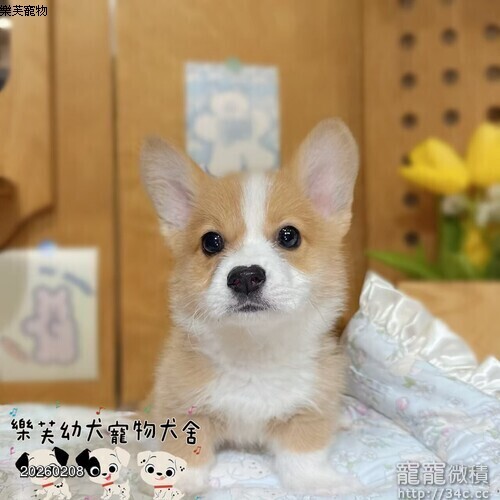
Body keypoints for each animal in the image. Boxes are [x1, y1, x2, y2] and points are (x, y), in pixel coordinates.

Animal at [140, 118, 359, 495]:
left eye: (289, 236)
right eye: (211, 242)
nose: (245, 277)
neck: (255, 352)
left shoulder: (308, 410)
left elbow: (304, 452)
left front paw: (319, 483)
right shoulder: (181, 406)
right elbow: (185, 451)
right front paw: (175, 481)